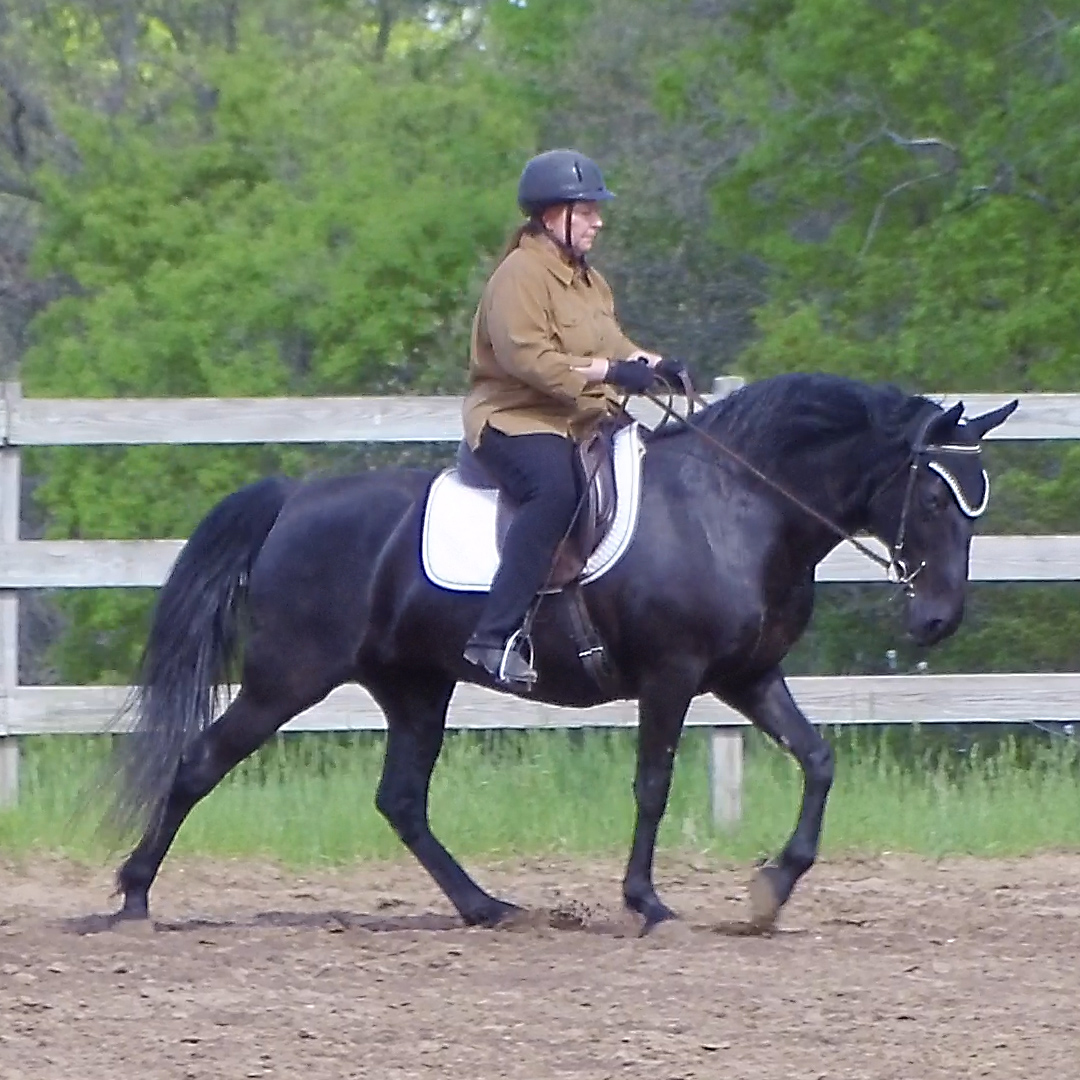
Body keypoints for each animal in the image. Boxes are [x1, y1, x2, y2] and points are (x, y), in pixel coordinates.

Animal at [103, 371, 1018, 932]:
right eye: (934, 497)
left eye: (977, 500)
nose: (939, 620)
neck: (736, 507)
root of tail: (294, 498)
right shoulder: (673, 676)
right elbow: (653, 786)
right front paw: (648, 902)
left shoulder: (748, 676)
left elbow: (820, 760)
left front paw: (770, 888)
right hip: (288, 676)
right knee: (201, 761)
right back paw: (133, 895)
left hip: (414, 686)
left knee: (401, 801)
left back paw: (485, 907)